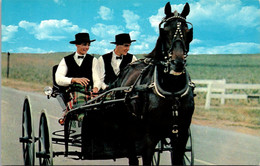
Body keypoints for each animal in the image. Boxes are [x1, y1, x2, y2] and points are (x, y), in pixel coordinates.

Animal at [112, 1, 195, 165]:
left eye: (187, 31)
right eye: (164, 31)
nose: (177, 63)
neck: (172, 90)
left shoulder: (181, 136)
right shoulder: (149, 137)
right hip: (129, 128)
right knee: (132, 155)